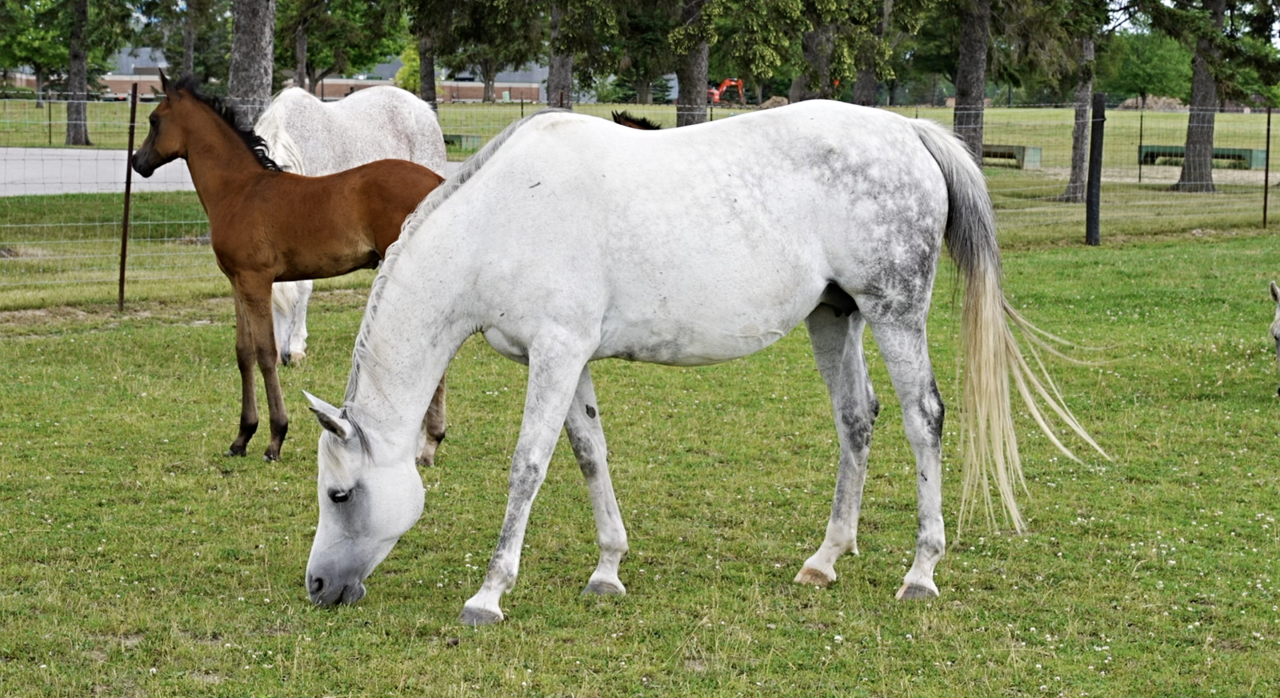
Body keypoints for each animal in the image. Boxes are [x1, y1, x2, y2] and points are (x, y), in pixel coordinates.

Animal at [300, 103, 1106, 623]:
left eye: (340, 495)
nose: (317, 586)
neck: (501, 219)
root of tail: (908, 130)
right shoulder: (571, 356)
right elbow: (589, 452)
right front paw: (607, 570)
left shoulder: (555, 354)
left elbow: (528, 465)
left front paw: (489, 595)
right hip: (834, 316)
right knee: (857, 419)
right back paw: (825, 559)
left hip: (894, 311)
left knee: (923, 419)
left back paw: (921, 573)